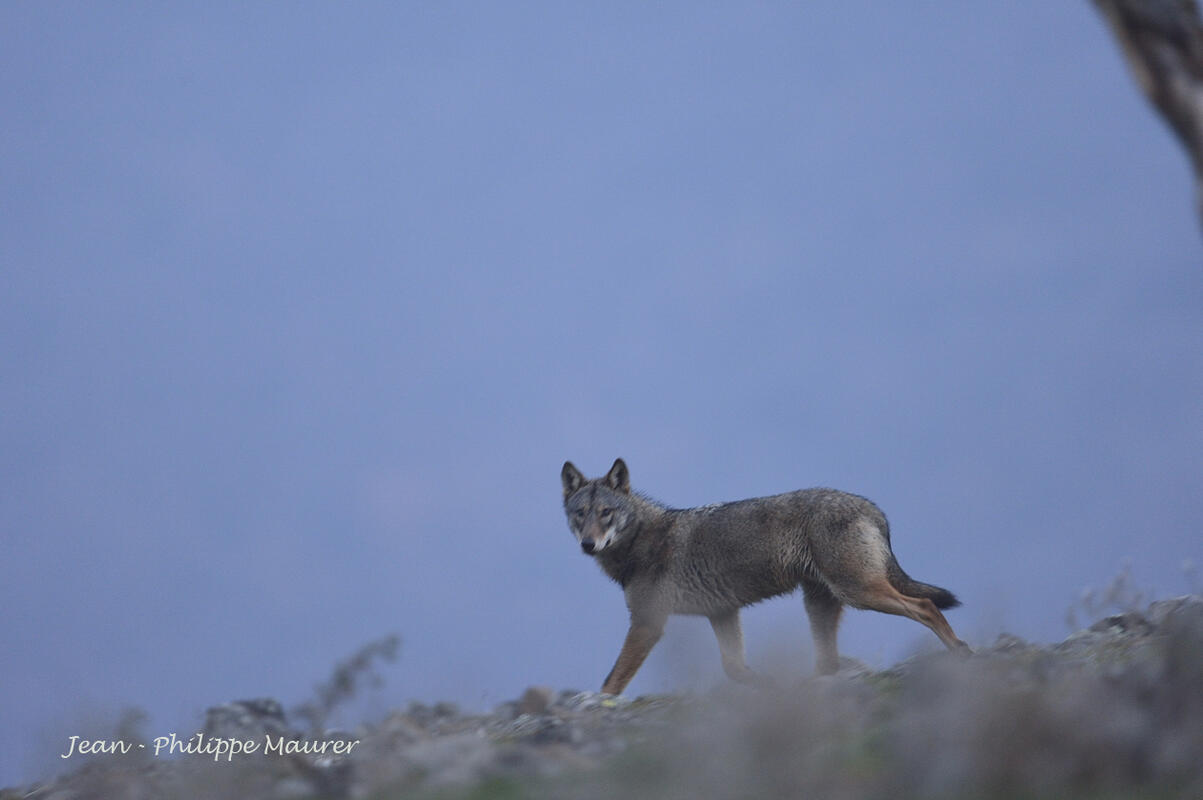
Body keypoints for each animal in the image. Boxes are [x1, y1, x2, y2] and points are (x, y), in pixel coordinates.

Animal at [561, 458, 970, 695]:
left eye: (606, 513)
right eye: (581, 514)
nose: (588, 544)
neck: (639, 540)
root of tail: (873, 508)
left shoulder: (648, 624)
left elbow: (612, 683)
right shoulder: (721, 612)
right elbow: (735, 669)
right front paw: (768, 684)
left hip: (859, 592)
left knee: (925, 605)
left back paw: (960, 652)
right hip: (822, 602)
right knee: (828, 662)